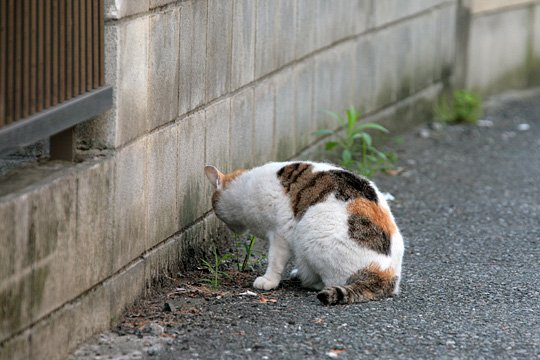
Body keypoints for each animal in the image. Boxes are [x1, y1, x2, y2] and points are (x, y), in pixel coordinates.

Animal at [205, 160, 402, 304]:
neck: (245, 186)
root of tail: (386, 273)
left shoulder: (281, 233)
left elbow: (275, 261)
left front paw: (268, 280)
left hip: (310, 232)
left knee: (330, 282)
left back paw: (305, 278)